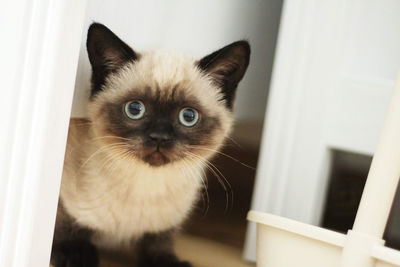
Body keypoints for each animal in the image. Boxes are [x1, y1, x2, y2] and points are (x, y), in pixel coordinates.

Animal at [50, 23, 250, 267]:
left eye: (188, 116)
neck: (146, 185)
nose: (159, 137)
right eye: (135, 110)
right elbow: (64, 224)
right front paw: (75, 254)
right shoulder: (62, 193)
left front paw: (169, 262)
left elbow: (158, 244)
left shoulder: (165, 223)